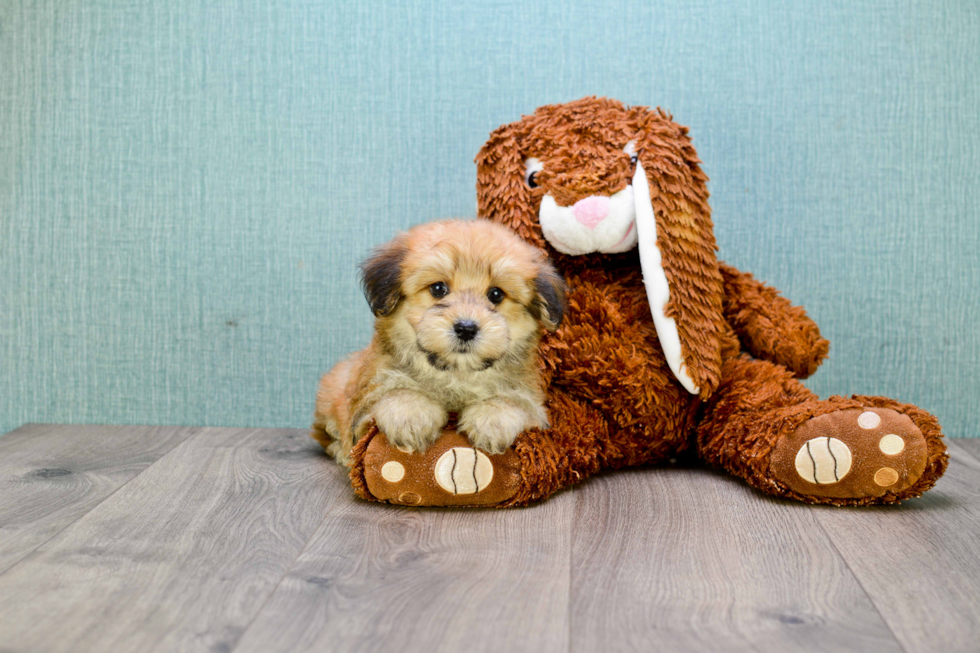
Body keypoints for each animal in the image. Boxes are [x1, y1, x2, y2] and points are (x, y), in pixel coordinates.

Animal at [310, 219, 572, 464]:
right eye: (438, 289)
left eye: (496, 294)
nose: (466, 328)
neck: (456, 374)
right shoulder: (370, 394)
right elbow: (397, 392)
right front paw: (411, 413)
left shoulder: (532, 403)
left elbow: (514, 402)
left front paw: (492, 419)